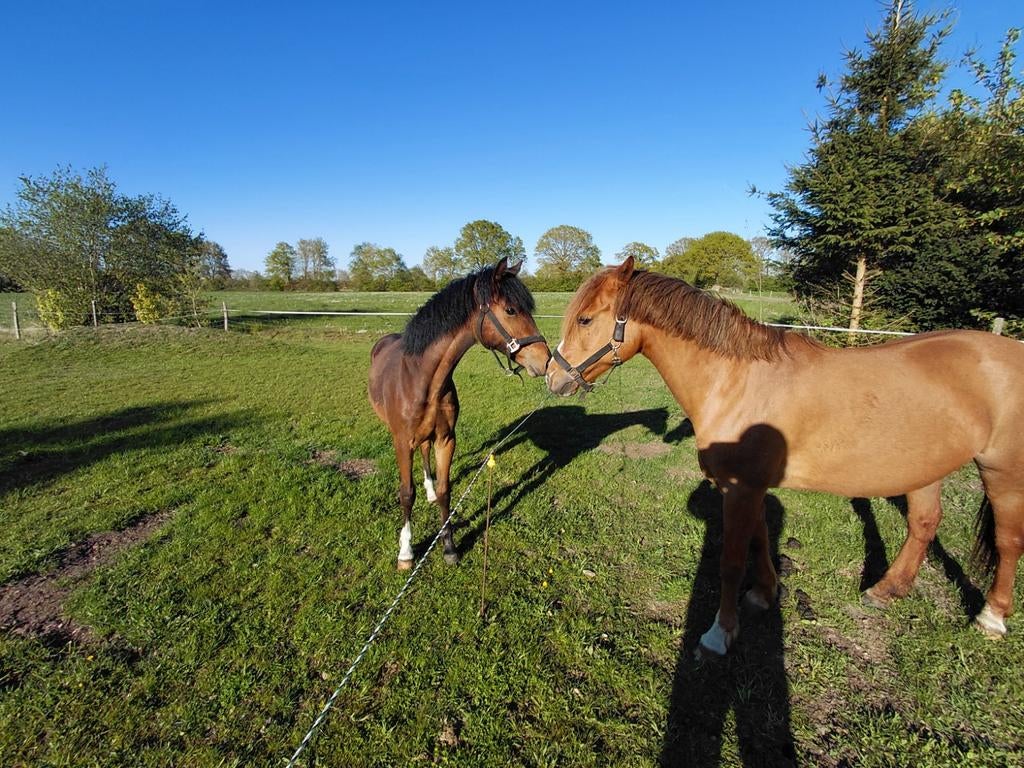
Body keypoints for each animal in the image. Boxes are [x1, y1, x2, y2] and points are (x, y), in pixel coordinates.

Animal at [369, 258, 550, 570]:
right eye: (511, 310)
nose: (545, 359)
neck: (422, 379)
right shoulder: (403, 442)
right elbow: (406, 493)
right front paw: (406, 553)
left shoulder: (446, 439)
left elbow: (445, 490)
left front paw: (449, 547)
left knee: (426, 454)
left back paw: (429, 490)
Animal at [547, 256, 1024, 654]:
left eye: (586, 319)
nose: (553, 377)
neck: (736, 380)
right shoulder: (751, 489)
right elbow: (760, 540)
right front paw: (764, 594)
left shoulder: (740, 489)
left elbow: (731, 562)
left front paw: (720, 633)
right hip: (925, 465)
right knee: (924, 524)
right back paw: (886, 591)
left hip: (1002, 472)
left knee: (1007, 540)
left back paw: (991, 619)